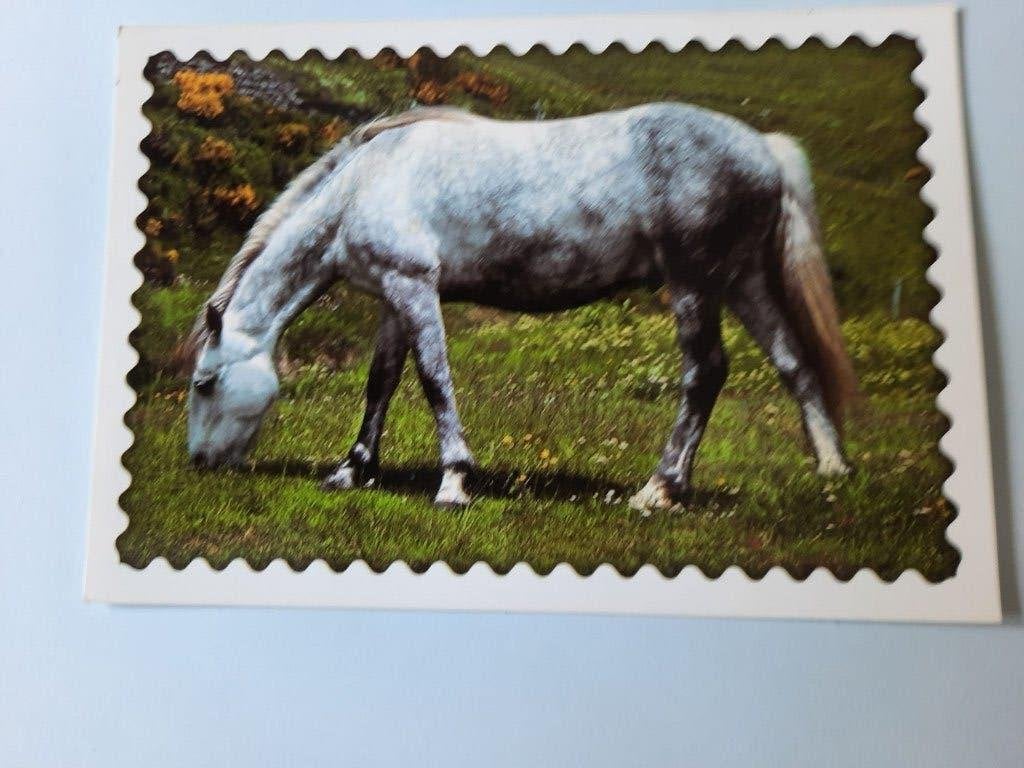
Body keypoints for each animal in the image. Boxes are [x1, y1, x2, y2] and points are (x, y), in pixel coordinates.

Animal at [182, 103, 856, 510]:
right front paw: (352, 471)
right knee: (793, 364)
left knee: (705, 374)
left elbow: (433, 381)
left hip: (695, 285)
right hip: (743, 282)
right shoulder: (393, 302)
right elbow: (381, 385)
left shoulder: (415, 289)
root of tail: (763, 146)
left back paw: (657, 490)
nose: (199, 463)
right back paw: (829, 469)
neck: (366, 184)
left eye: (205, 383)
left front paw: (454, 483)